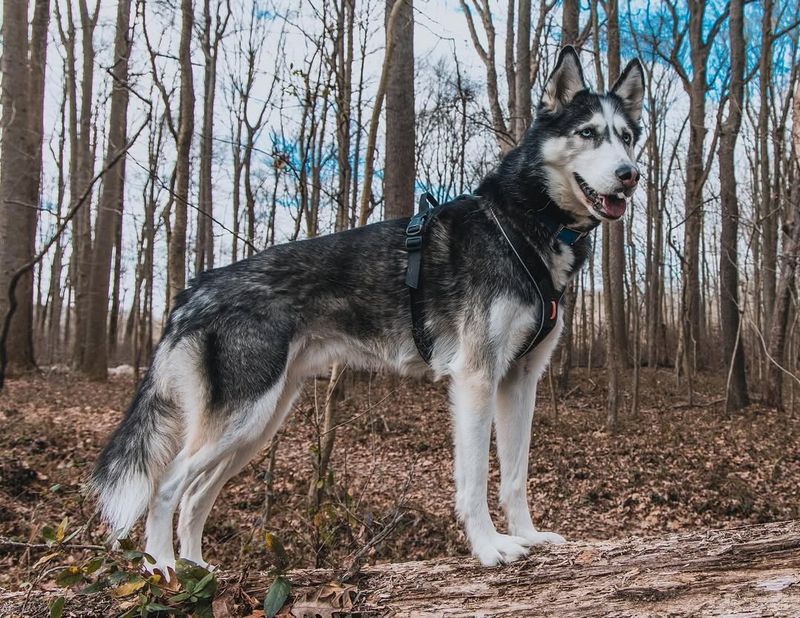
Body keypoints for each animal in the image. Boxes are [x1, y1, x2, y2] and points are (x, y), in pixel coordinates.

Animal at [92, 48, 644, 572]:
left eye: (627, 137)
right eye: (588, 133)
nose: (630, 175)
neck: (520, 223)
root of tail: (194, 289)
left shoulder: (519, 381)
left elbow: (514, 475)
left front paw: (527, 535)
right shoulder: (476, 379)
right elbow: (473, 481)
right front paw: (489, 548)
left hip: (258, 423)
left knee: (193, 498)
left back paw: (198, 568)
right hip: (243, 417)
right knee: (166, 486)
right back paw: (164, 567)